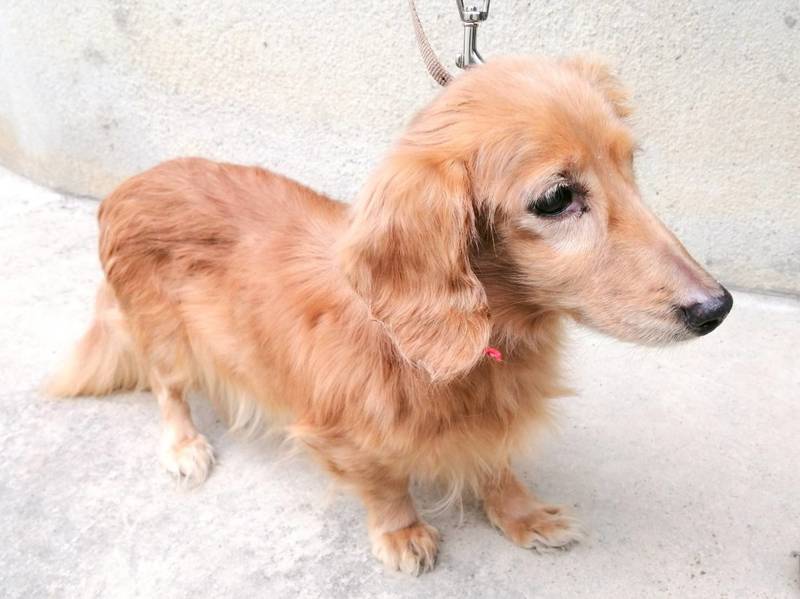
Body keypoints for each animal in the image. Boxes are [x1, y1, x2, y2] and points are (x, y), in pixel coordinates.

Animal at [48, 56, 732, 575]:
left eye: (630, 164)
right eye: (557, 197)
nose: (718, 307)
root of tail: (129, 184)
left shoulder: (492, 421)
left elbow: (496, 464)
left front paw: (521, 514)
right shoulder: (339, 432)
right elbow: (384, 482)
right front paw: (402, 532)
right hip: (164, 335)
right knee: (167, 390)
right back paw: (184, 444)